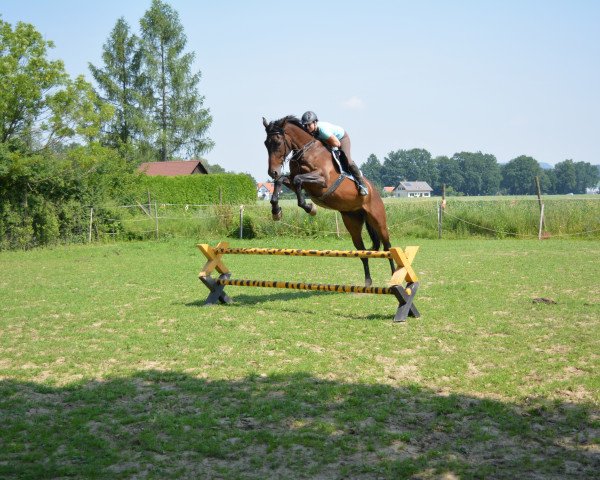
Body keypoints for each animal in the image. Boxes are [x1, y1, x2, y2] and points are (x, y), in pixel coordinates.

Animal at [262, 114, 394, 286]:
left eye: (277, 142)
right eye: (266, 143)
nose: (272, 172)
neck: (306, 151)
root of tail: (374, 191)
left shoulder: (322, 181)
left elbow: (298, 180)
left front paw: (309, 208)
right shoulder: (294, 179)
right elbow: (283, 181)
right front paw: (276, 211)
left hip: (378, 220)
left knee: (388, 248)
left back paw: (395, 277)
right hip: (352, 222)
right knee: (362, 251)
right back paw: (367, 281)